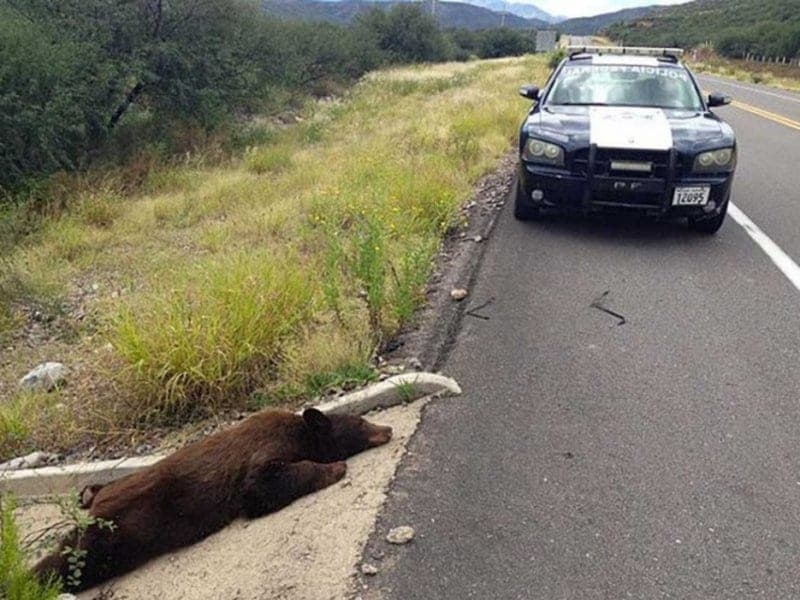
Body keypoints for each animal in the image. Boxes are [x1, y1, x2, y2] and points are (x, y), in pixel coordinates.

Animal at [33, 408, 392, 592]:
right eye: (362, 422)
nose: (388, 428)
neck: (303, 433)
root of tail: (96, 507)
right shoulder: (266, 450)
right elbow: (258, 487)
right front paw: (334, 467)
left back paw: (88, 489)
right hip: (117, 533)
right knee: (72, 559)